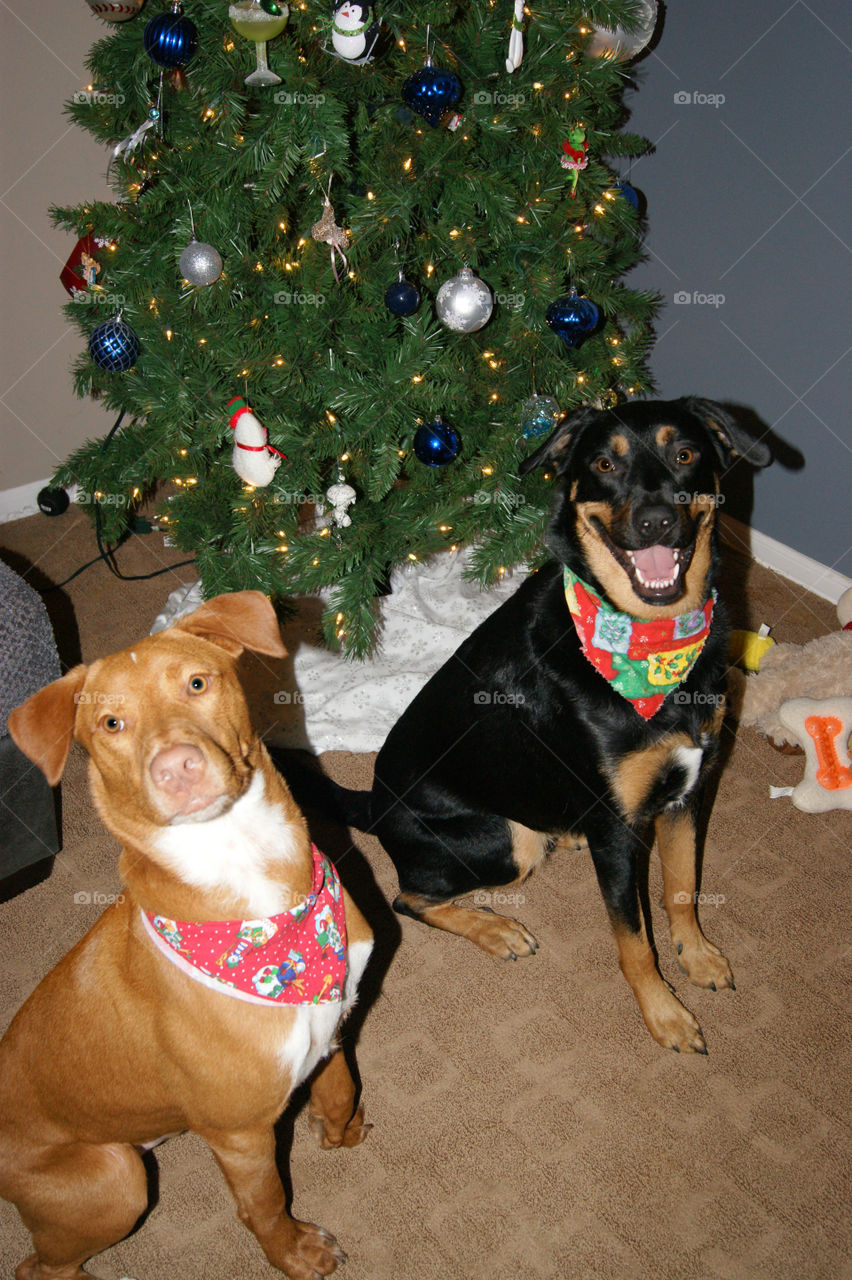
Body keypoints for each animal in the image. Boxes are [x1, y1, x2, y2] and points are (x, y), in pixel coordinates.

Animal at [0, 593, 370, 1280]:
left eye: (198, 683)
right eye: (111, 724)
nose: (176, 768)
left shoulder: (333, 1017)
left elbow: (339, 1083)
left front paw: (340, 1129)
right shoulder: (240, 1134)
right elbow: (266, 1205)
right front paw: (296, 1254)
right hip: (115, 1177)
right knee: (41, 1266)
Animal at [289, 396, 767, 1049]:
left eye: (686, 453)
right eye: (603, 463)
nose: (655, 522)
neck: (652, 644)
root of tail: (376, 804)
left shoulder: (688, 790)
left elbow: (683, 889)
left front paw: (696, 957)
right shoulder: (618, 830)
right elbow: (634, 941)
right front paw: (663, 1013)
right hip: (508, 841)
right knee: (407, 898)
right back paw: (495, 929)